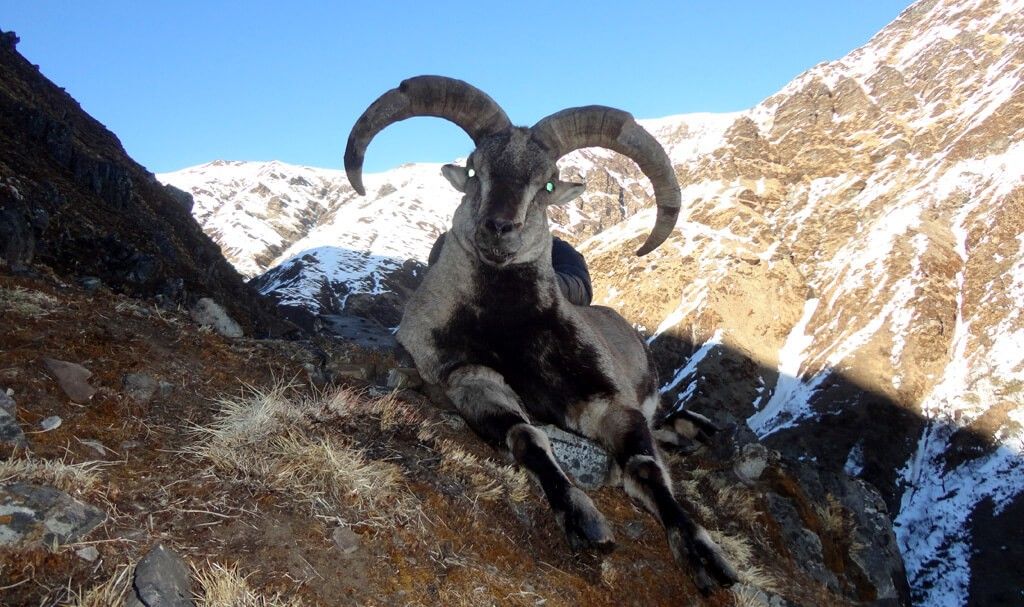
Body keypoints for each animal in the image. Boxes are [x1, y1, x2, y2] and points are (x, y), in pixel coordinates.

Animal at [344, 75, 739, 593]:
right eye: (474, 170)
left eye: (547, 183)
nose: (499, 227)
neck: (511, 331)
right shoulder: (469, 377)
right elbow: (526, 436)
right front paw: (584, 520)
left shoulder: (605, 398)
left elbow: (644, 466)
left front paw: (706, 555)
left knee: (660, 420)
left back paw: (696, 430)